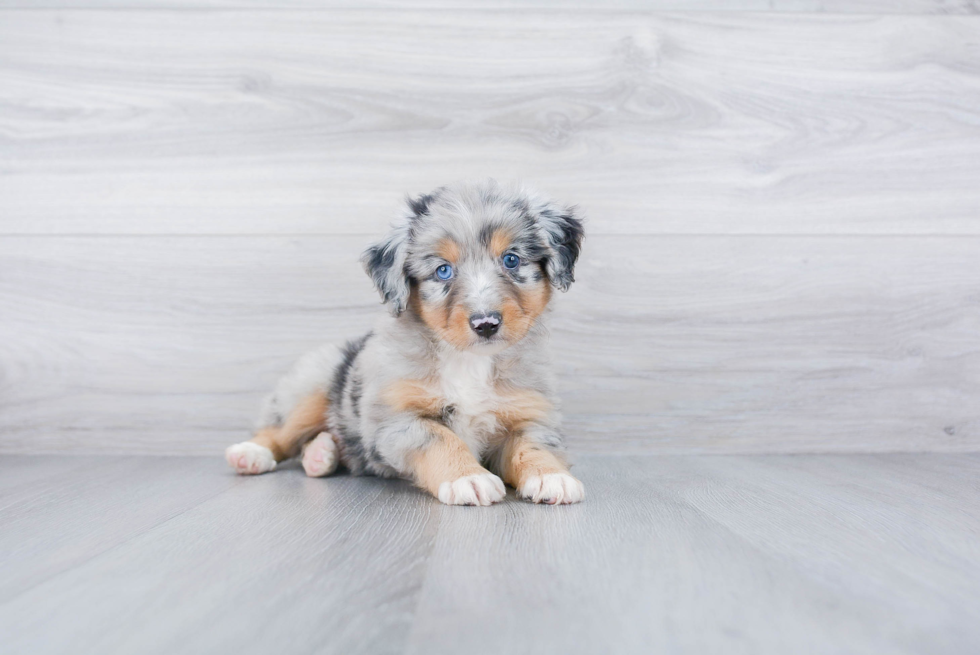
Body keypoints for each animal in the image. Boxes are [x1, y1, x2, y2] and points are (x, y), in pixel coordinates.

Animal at [226, 179, 584, 508]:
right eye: (443, 270)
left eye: (511, 260)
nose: (486, 324)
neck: (468, 360)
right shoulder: (396, 420)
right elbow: (442, 439)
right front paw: (468, 477)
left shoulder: (529, 416)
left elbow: (534, 447)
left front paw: (552, 476)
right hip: (313, 385)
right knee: (279, 429)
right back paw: (252, 453)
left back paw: (320, 454)